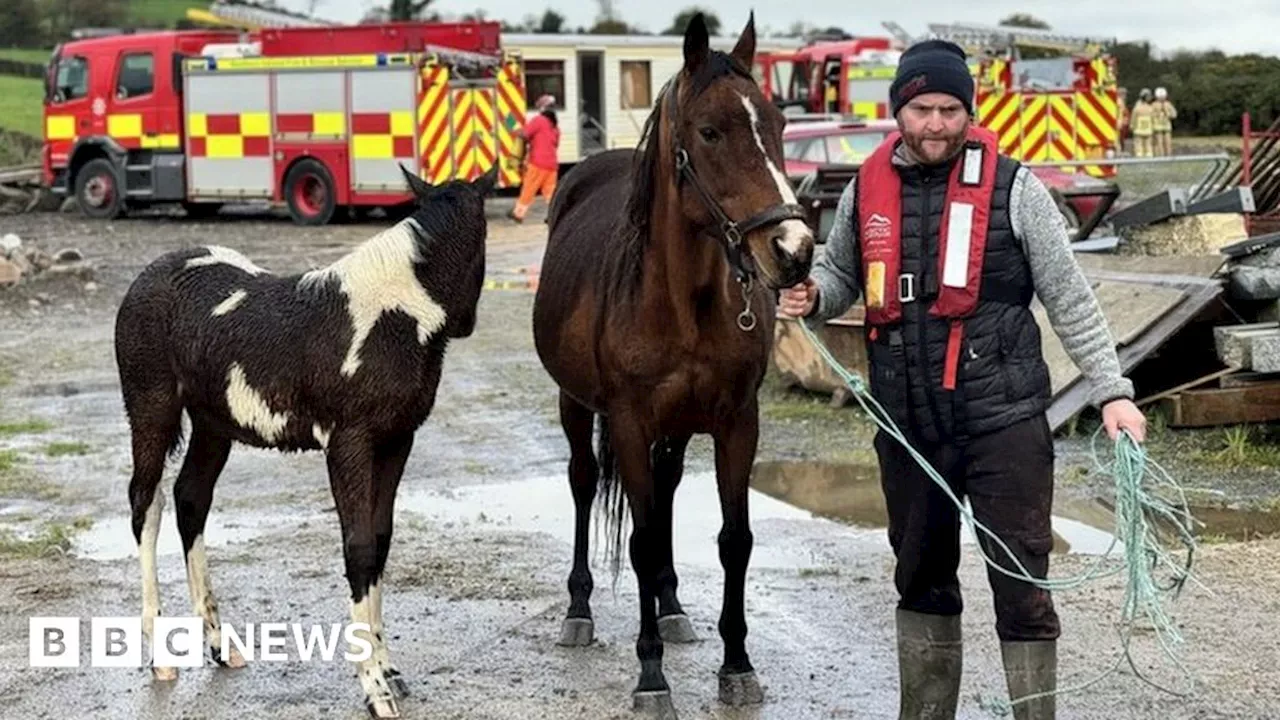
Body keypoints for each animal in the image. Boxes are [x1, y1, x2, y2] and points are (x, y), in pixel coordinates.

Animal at [116, 165, 494, 712]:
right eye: (484, 235)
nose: (467, 324)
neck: (391, 314)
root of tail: (144, 279)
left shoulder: (396, 440)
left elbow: (380, 540)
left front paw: (389, 669)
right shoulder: (348, 443)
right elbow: (358, 546)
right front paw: (374, 688)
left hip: (213, 424)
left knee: (191, 499)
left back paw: (219, 645)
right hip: (152, 411)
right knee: (147, 504)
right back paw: (160, 656)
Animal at [532, 14, 814, 712]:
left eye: (779, 123)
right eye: (709, 131)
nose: (794, 250)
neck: (682, 302)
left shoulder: (737, 423)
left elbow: (733, 539)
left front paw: (737, 664)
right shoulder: (630, 423)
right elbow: (635, 540)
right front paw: (651, 674)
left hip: (678, 429)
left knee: (664, 495)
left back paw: (671, 604)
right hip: (576, 406)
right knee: (584, 484)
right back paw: (579, 611)